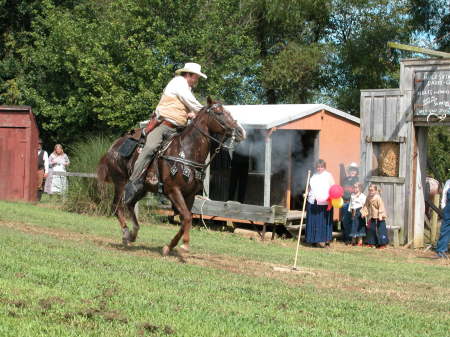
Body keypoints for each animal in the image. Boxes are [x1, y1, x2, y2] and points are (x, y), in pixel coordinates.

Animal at [97, 98, 246, 255]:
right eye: (218, 112)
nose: (241, 131)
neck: (186, 151)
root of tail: (113, 146)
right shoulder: (173, 191)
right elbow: (186, 217)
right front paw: (184, 244)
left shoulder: (190, 195)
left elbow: (186, 219)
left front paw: (169, 247)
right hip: (120, 182)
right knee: (117, 206)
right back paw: (126, 234)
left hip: (142, 188)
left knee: (130, 205)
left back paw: (133, 234)